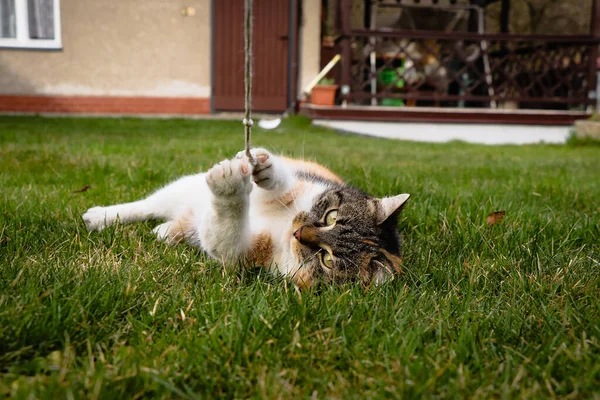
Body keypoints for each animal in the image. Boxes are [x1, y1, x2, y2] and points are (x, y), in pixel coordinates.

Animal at [82, 147, 410, 288]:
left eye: (327, 260)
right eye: (331, 216)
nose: (299, 233)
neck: (282, 228)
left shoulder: (245, 253)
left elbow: (225, 234)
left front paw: (228, 186)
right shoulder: (303, 186)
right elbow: (280, 185)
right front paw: (263, 167)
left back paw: (167, 232)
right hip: (180, 188)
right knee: (144, 206)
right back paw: (99, 217)